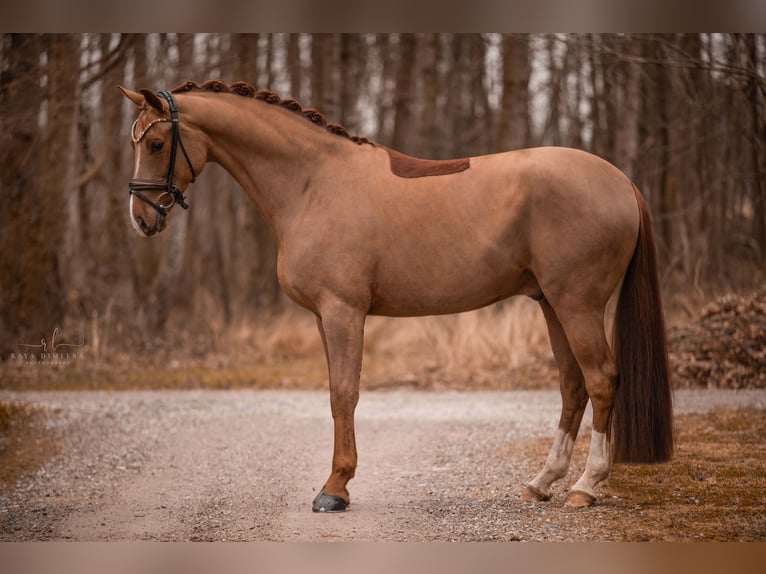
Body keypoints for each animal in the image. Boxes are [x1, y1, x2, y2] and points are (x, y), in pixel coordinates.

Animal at [118, 81, 672, 512]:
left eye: (158, 142)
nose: (141, 220)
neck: (312, 183)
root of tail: (621, 181)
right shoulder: (323, 317)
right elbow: (335, 392)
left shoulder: (343, 312)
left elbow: (345, 394)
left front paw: (335, 488)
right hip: (552, 304)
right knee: (572, 385)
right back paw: (541, 483)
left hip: (577, 304)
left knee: (601, 380)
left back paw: (586, 486)